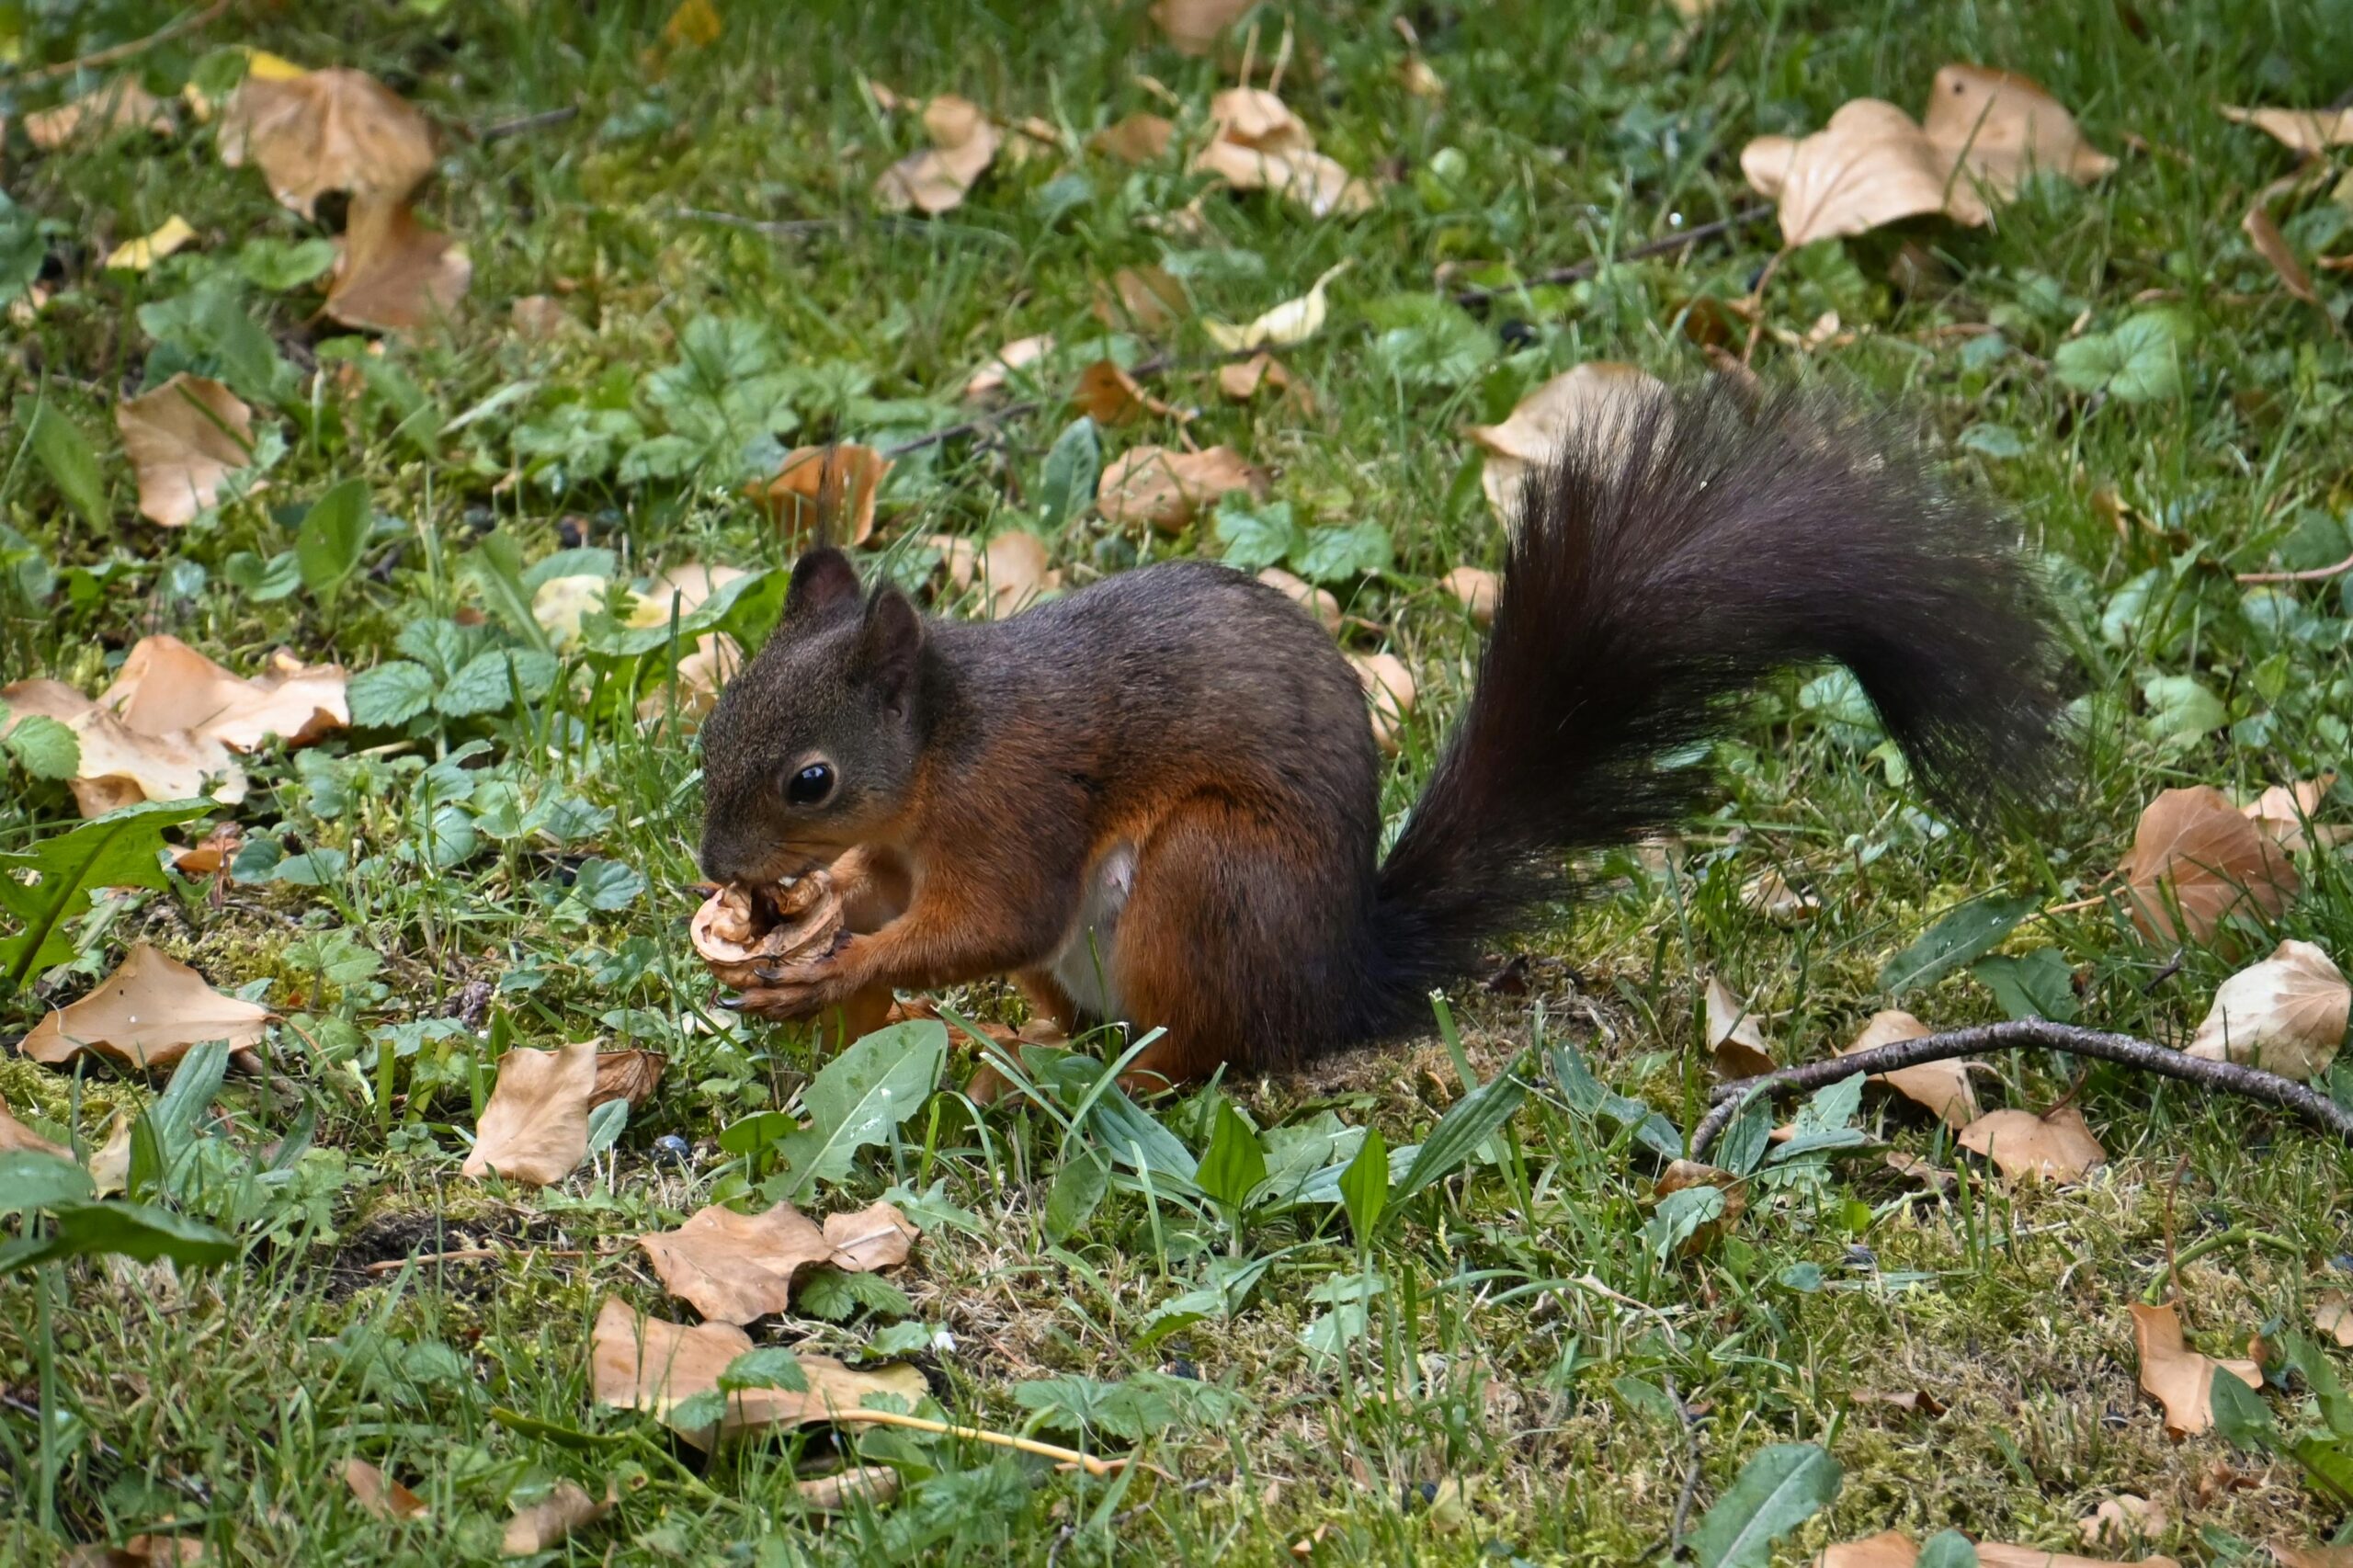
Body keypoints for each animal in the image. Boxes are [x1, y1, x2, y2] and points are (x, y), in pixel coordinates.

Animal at [696, 381, 2064, 1087]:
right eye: (711, 724)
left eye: (811, 778)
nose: (716, 867)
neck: (937, 754)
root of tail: (1338, 981)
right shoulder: (908, 845)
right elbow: (886, 897)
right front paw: (809, 925)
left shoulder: (1015, 804)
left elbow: (994, 917)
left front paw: (836, 967)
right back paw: (1014, 1047)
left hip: (1207, 881)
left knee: (1198, 1059)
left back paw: (1093, 1081)